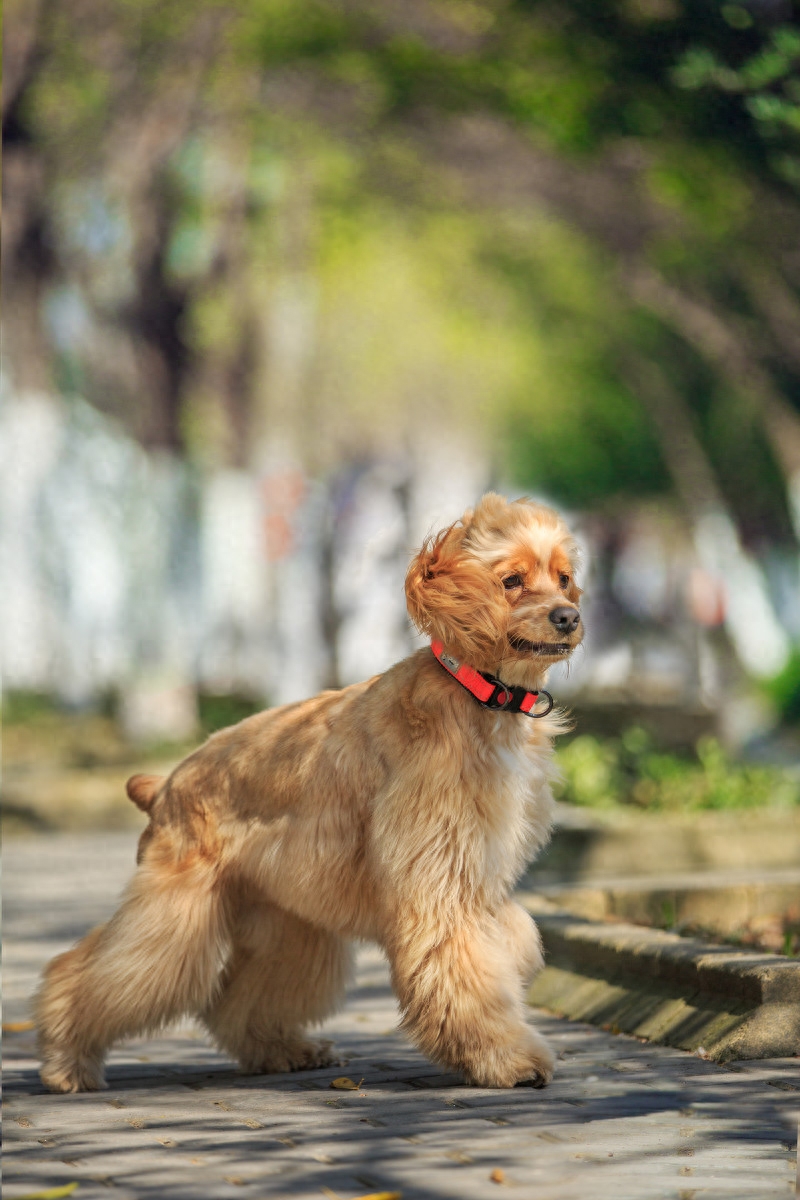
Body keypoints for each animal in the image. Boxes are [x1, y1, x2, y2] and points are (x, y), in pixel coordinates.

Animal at [35, 492, 582, 1094]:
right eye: (511, 580)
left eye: (564, 577)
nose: (569, 616)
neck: (478, 695)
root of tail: (166, 784)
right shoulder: (438, 883)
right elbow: (462, 964)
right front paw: (506, 1057)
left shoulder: (475, 872)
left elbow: (513, 935)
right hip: (174, 912)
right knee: (87, 974)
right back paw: (67, 1061)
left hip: (284, 920)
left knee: (239, 1001)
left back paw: (282, 1049)